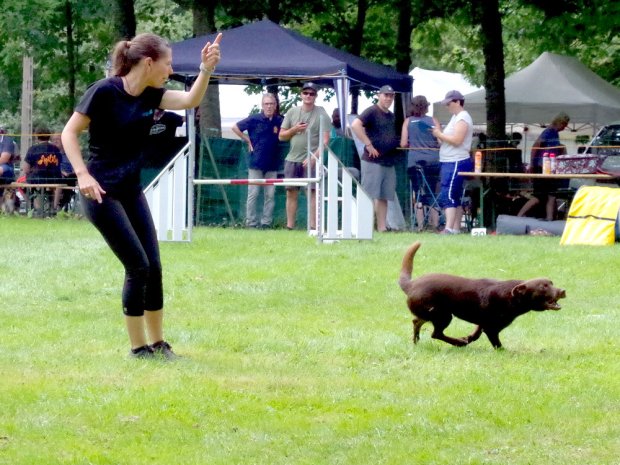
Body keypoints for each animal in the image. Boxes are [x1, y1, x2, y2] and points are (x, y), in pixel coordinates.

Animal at [398, 243, 568, 348]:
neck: (511, 296)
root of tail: (410, 285)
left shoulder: (482, 322)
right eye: (543, 286)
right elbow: (497, 344)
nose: (562, 291)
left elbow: (476, 333)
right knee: (435, 333)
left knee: (416, 321)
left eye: (551, 282)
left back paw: (417, 340)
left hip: (432, 313)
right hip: (443, 315)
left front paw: (467, 338)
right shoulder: (492, 328)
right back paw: (457, 343)